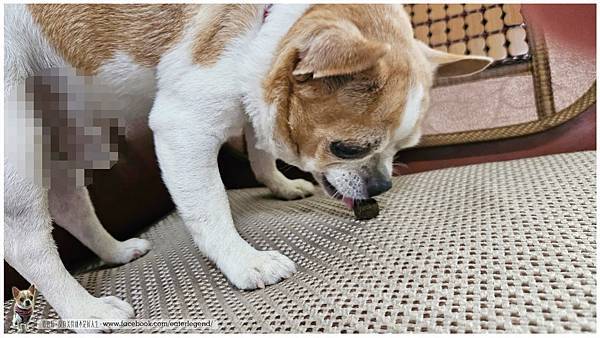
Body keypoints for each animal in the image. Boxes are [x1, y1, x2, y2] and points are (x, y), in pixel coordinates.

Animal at [3, 3, 492, 330]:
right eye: (348, 149)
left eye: (402, 149)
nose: (381, 186)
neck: (262, 24)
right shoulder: (184, 126)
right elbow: (211, 208)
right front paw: (244, 261)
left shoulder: (252, 97)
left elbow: (260, 143)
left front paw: (280, 184)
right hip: (17, 137)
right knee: (28, 243)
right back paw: (86, 309)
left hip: (64, 122)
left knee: (69, 200)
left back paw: (115, 251)